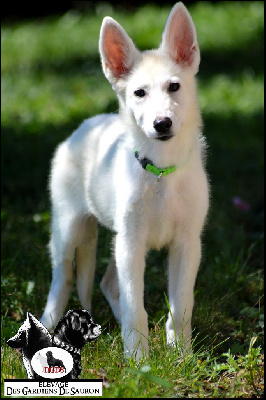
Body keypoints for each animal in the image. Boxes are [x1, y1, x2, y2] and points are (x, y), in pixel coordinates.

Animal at [40, 2, 209, 360]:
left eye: (174, 87)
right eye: (139, 93)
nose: (162, 123)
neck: (160, 172)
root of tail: (86, 126)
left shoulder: (186, 243)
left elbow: (181, 306)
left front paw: (181, 355)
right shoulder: (132, 243)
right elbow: (136, 307)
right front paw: (138, 361)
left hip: (117, 240)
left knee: (107, 283)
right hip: (69, 227)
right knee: (63, 277)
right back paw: (45, 328)